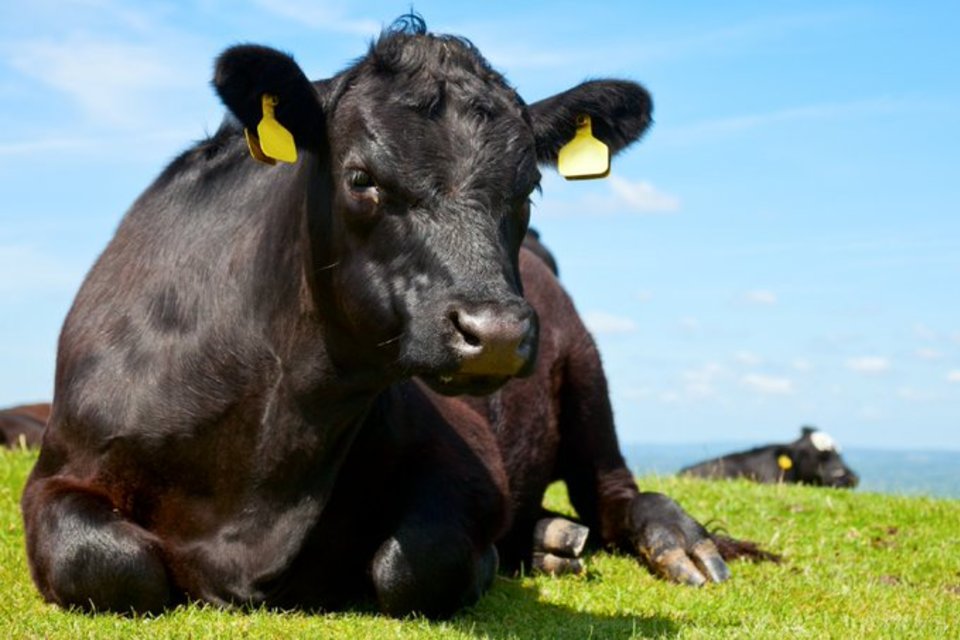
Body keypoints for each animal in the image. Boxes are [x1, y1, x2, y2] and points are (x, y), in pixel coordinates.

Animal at [22, 15, 752, 618]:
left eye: (530, 187)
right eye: (360, 178)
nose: (496, 333)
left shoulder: (467, 466)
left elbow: (414, 562)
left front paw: (489, 562)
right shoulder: (58, 470)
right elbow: (103, 562)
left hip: (585, 375)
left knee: (615, 492)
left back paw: (675, 543)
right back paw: (549, 539)